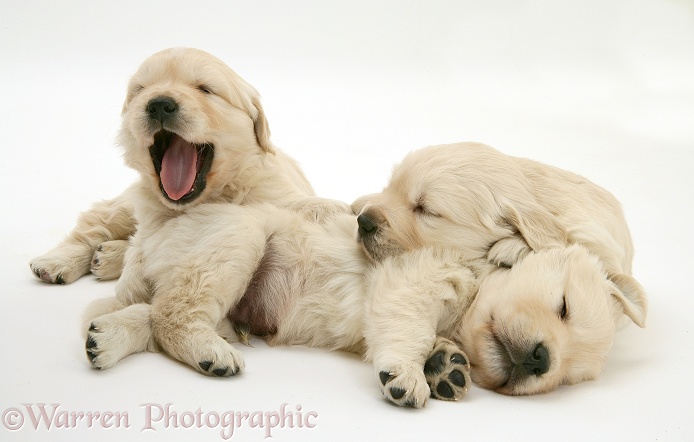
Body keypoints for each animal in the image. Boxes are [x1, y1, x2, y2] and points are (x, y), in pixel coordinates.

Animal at [29, 46, 346, 284]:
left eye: (204, 89)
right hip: (126, 204)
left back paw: (106, 256)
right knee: (96, 221)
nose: (158, 104)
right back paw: (58, 261)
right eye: (141, 90)